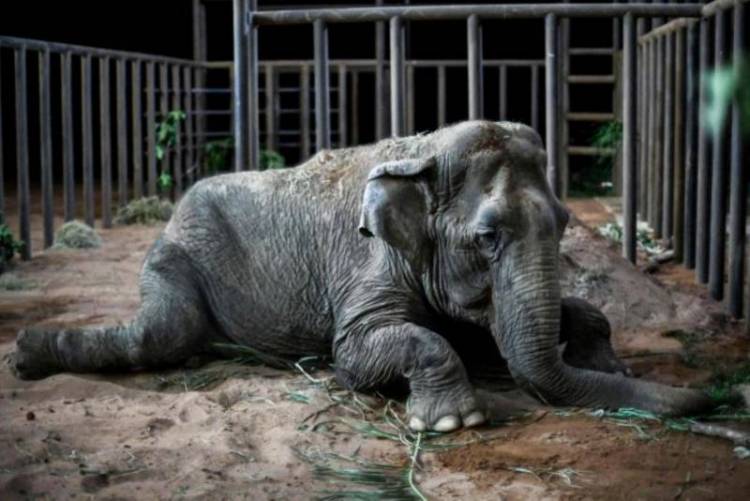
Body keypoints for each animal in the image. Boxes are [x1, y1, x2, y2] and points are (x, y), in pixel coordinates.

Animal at [13, 120, 711, 432]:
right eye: (487, 238)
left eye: (565, 221)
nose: (713, 399)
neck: (425, 154)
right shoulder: (368, 263)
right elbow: (360, 350)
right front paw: (450, 424)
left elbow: (495, 329)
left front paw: (609, 362)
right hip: (177, 252)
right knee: (164, 333)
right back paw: (24, 355)